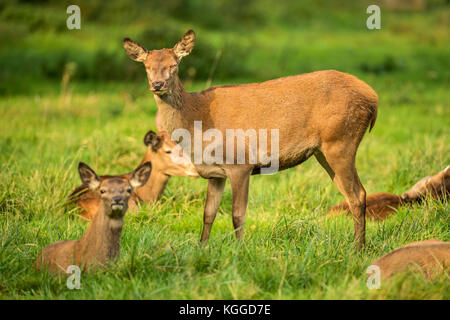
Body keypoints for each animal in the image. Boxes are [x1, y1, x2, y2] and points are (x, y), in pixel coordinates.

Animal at [121, 29, 378, 248]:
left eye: (173, 65)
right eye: (147, 67)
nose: (157, 84)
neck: (197, 120)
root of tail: (373, 98)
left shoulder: (240, 163)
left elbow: (237, 214)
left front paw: (239, 250)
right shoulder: (215, 174)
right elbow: (208, 213)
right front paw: (202, 248)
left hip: (341, 140)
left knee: (357, 194)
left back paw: (358, 248)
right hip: (323, 151)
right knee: (354, 193)